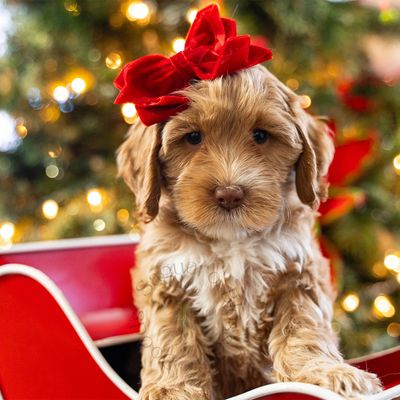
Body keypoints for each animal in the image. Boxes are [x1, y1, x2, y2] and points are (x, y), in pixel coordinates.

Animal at [116, 65, 382, 400]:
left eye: (260, 136)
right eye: (193, 137)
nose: (229, 194)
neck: (231, 239)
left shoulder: (298, 273)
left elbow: (303, 326)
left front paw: (325, 373)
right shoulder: (167, 281)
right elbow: (173, 339)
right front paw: (170, 389)